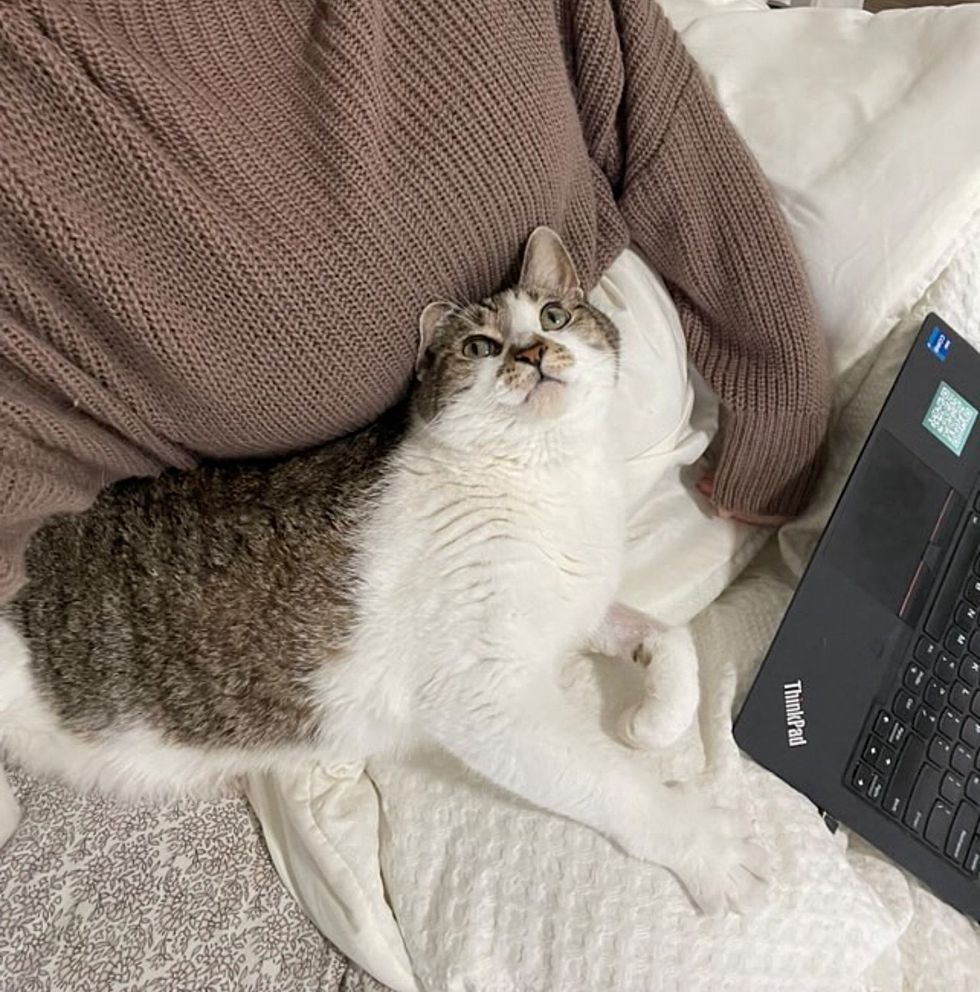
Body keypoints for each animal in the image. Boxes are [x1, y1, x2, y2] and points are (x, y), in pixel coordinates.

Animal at [0, 229, 764, 912]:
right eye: (480, 347)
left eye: (553, 315)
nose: (534, 351)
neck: (547, 478)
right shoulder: (483, 697)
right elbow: (614, 782)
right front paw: (705, 846)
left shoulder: (574, 605)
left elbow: (670, 637)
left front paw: (652, 720)